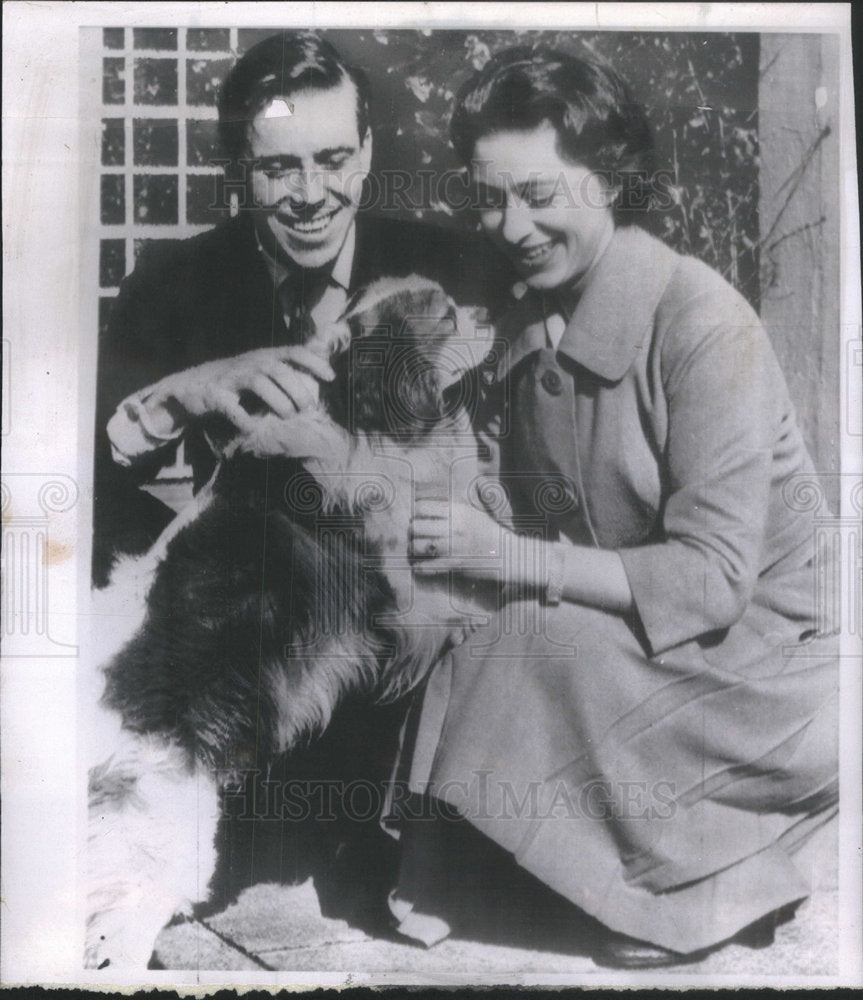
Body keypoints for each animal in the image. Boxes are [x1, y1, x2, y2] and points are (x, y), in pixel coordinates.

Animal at [84, 276, 502, 968]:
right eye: (446, 315)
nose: (493, 308)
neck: (359, 416)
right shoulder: (403, 596)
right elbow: (461, 596)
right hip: (166, 837)